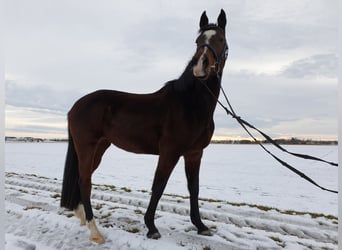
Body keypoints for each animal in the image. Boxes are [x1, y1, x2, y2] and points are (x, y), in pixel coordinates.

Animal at [60, 10, 227, 244]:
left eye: (220, 39)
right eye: (197, 42)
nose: (200, 66)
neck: (190, 103)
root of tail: (76, 106)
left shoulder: (194, 153)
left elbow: (193, 188)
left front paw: (201, 226)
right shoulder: (169, 153)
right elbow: (158, 186)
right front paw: (151, 227)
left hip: (99, 147)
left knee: (81, 179)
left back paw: (82, 216)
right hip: (87, 147)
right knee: (85, 181)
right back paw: (95, 231)